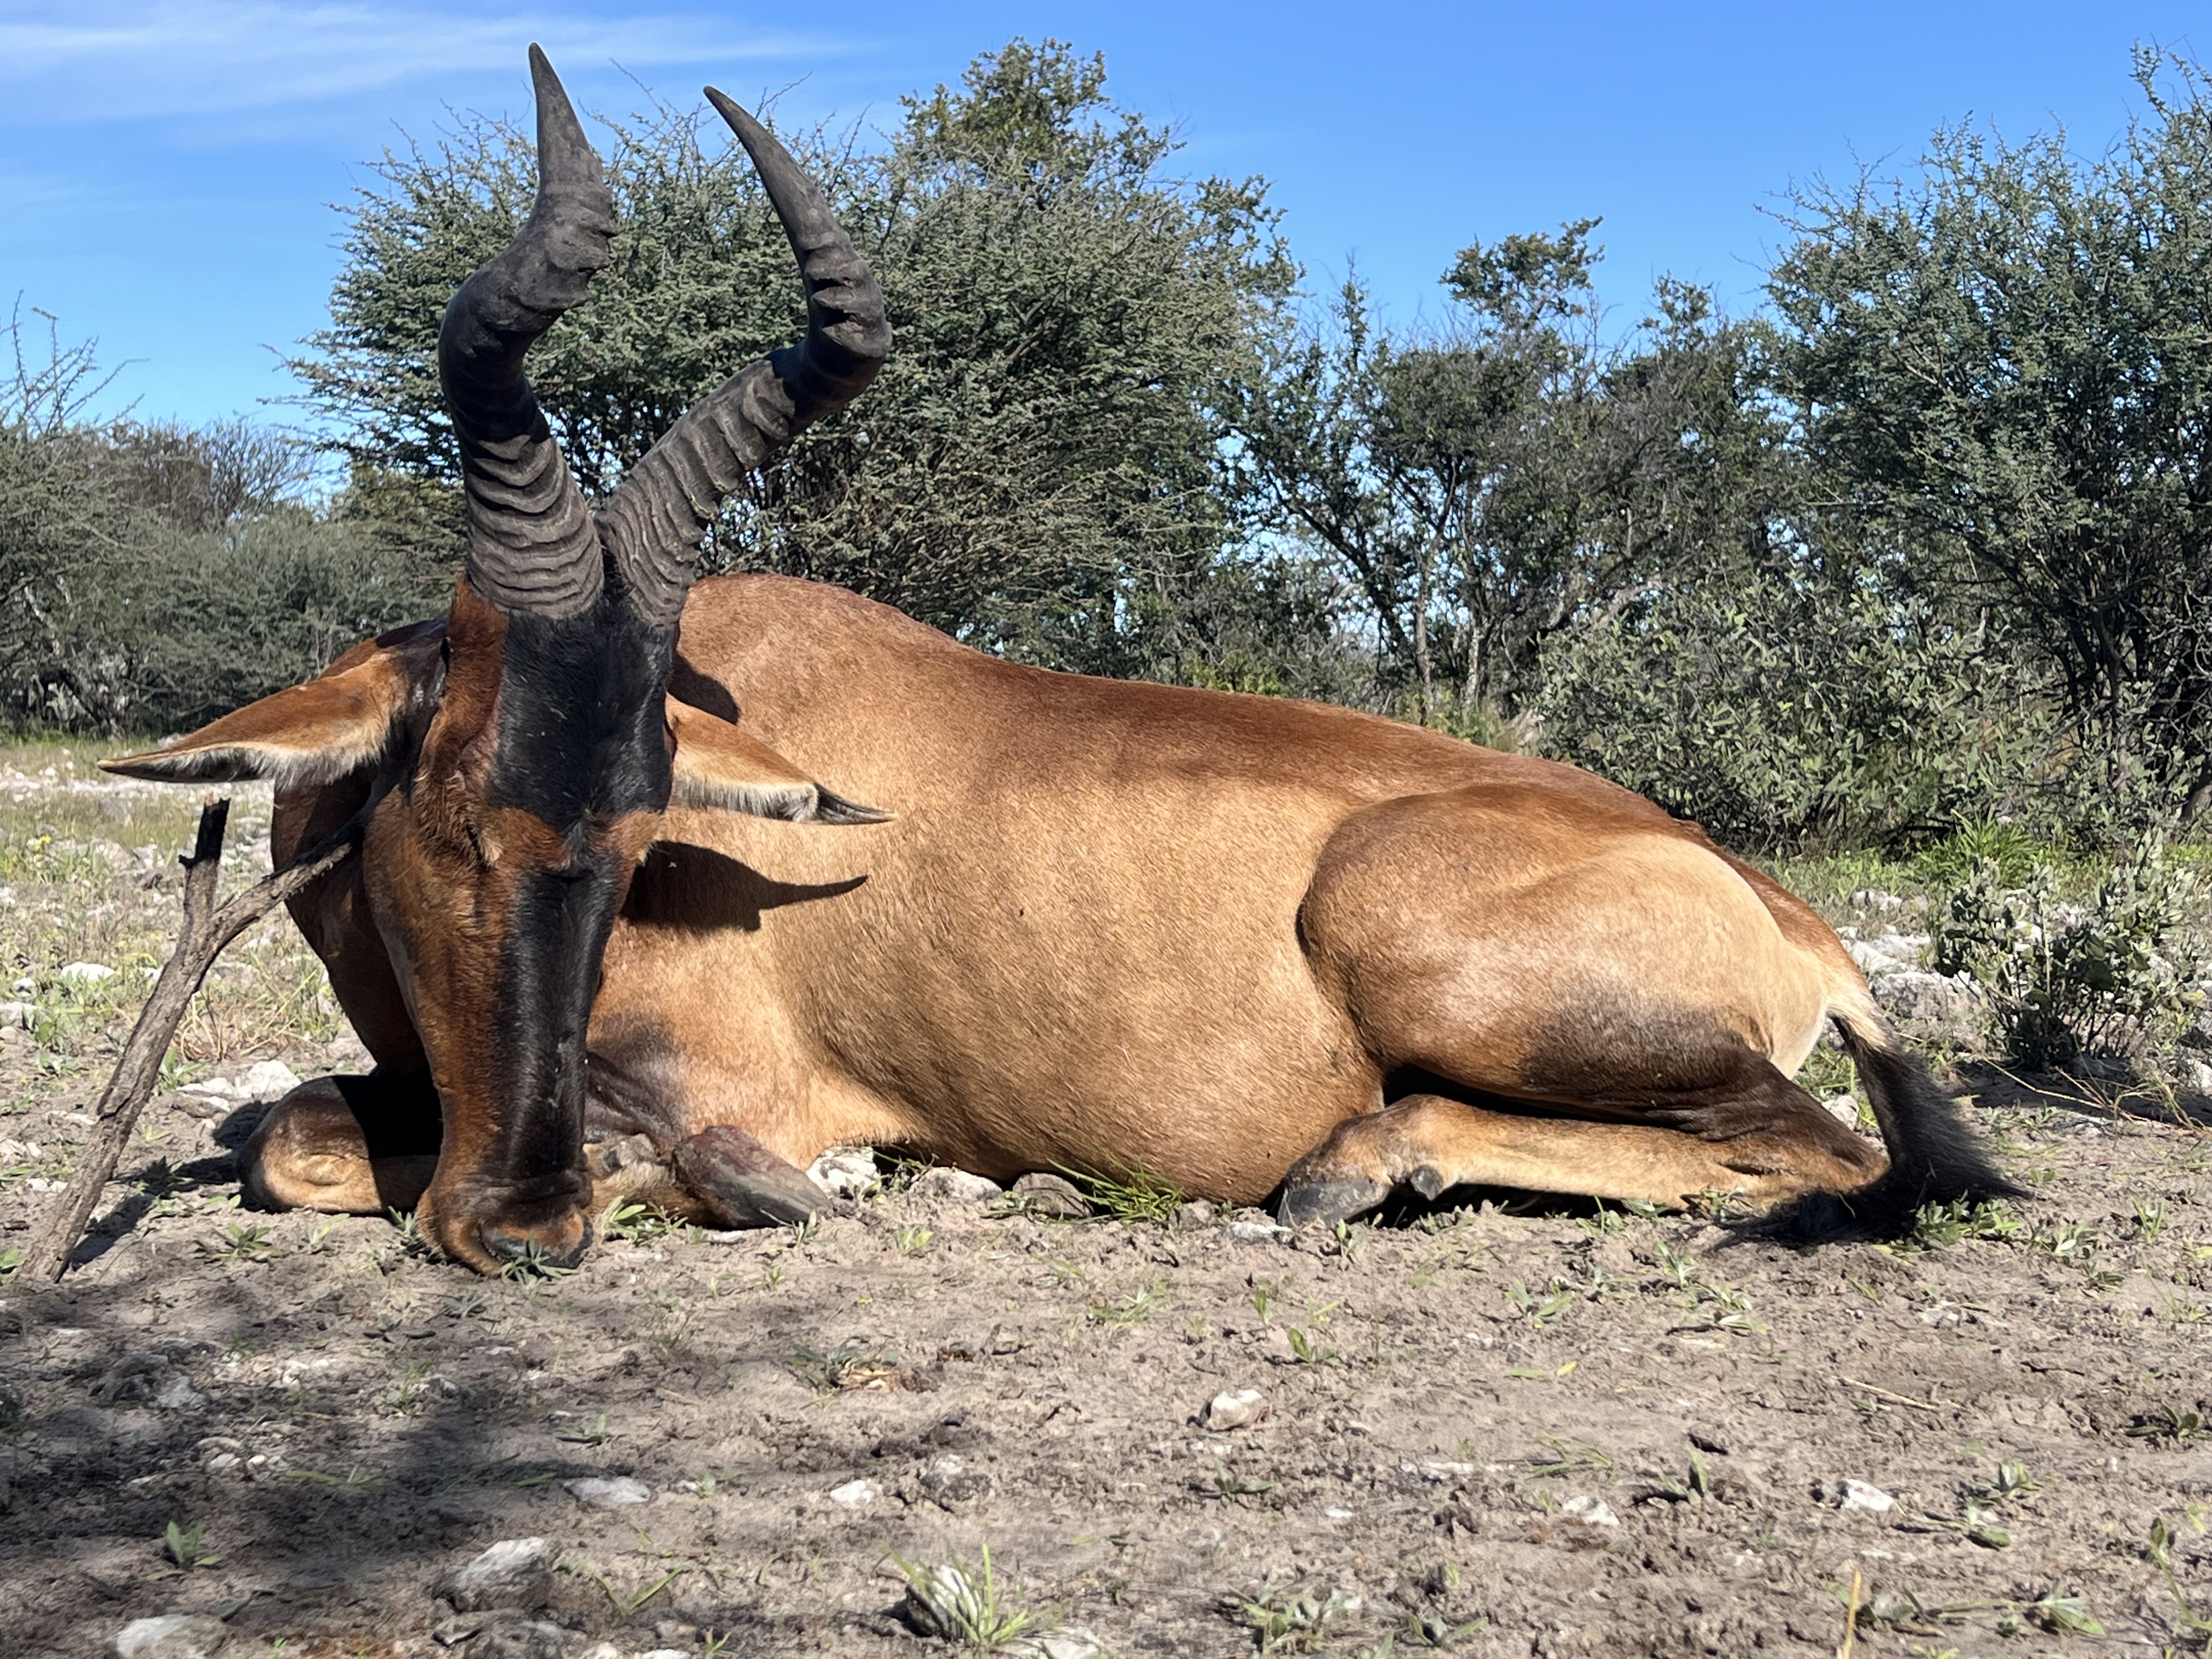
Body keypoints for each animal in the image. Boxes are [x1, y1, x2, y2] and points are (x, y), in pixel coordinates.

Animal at [106, 51, 2015, 1275]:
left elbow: (365, 1143)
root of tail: (1783, 910)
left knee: (1815, 1150)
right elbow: (280, 1129)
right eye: (447, 817)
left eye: (649, 836)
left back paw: (1352, 1174)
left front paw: (771, 1190)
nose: (521, 1225)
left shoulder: (730, 1085)